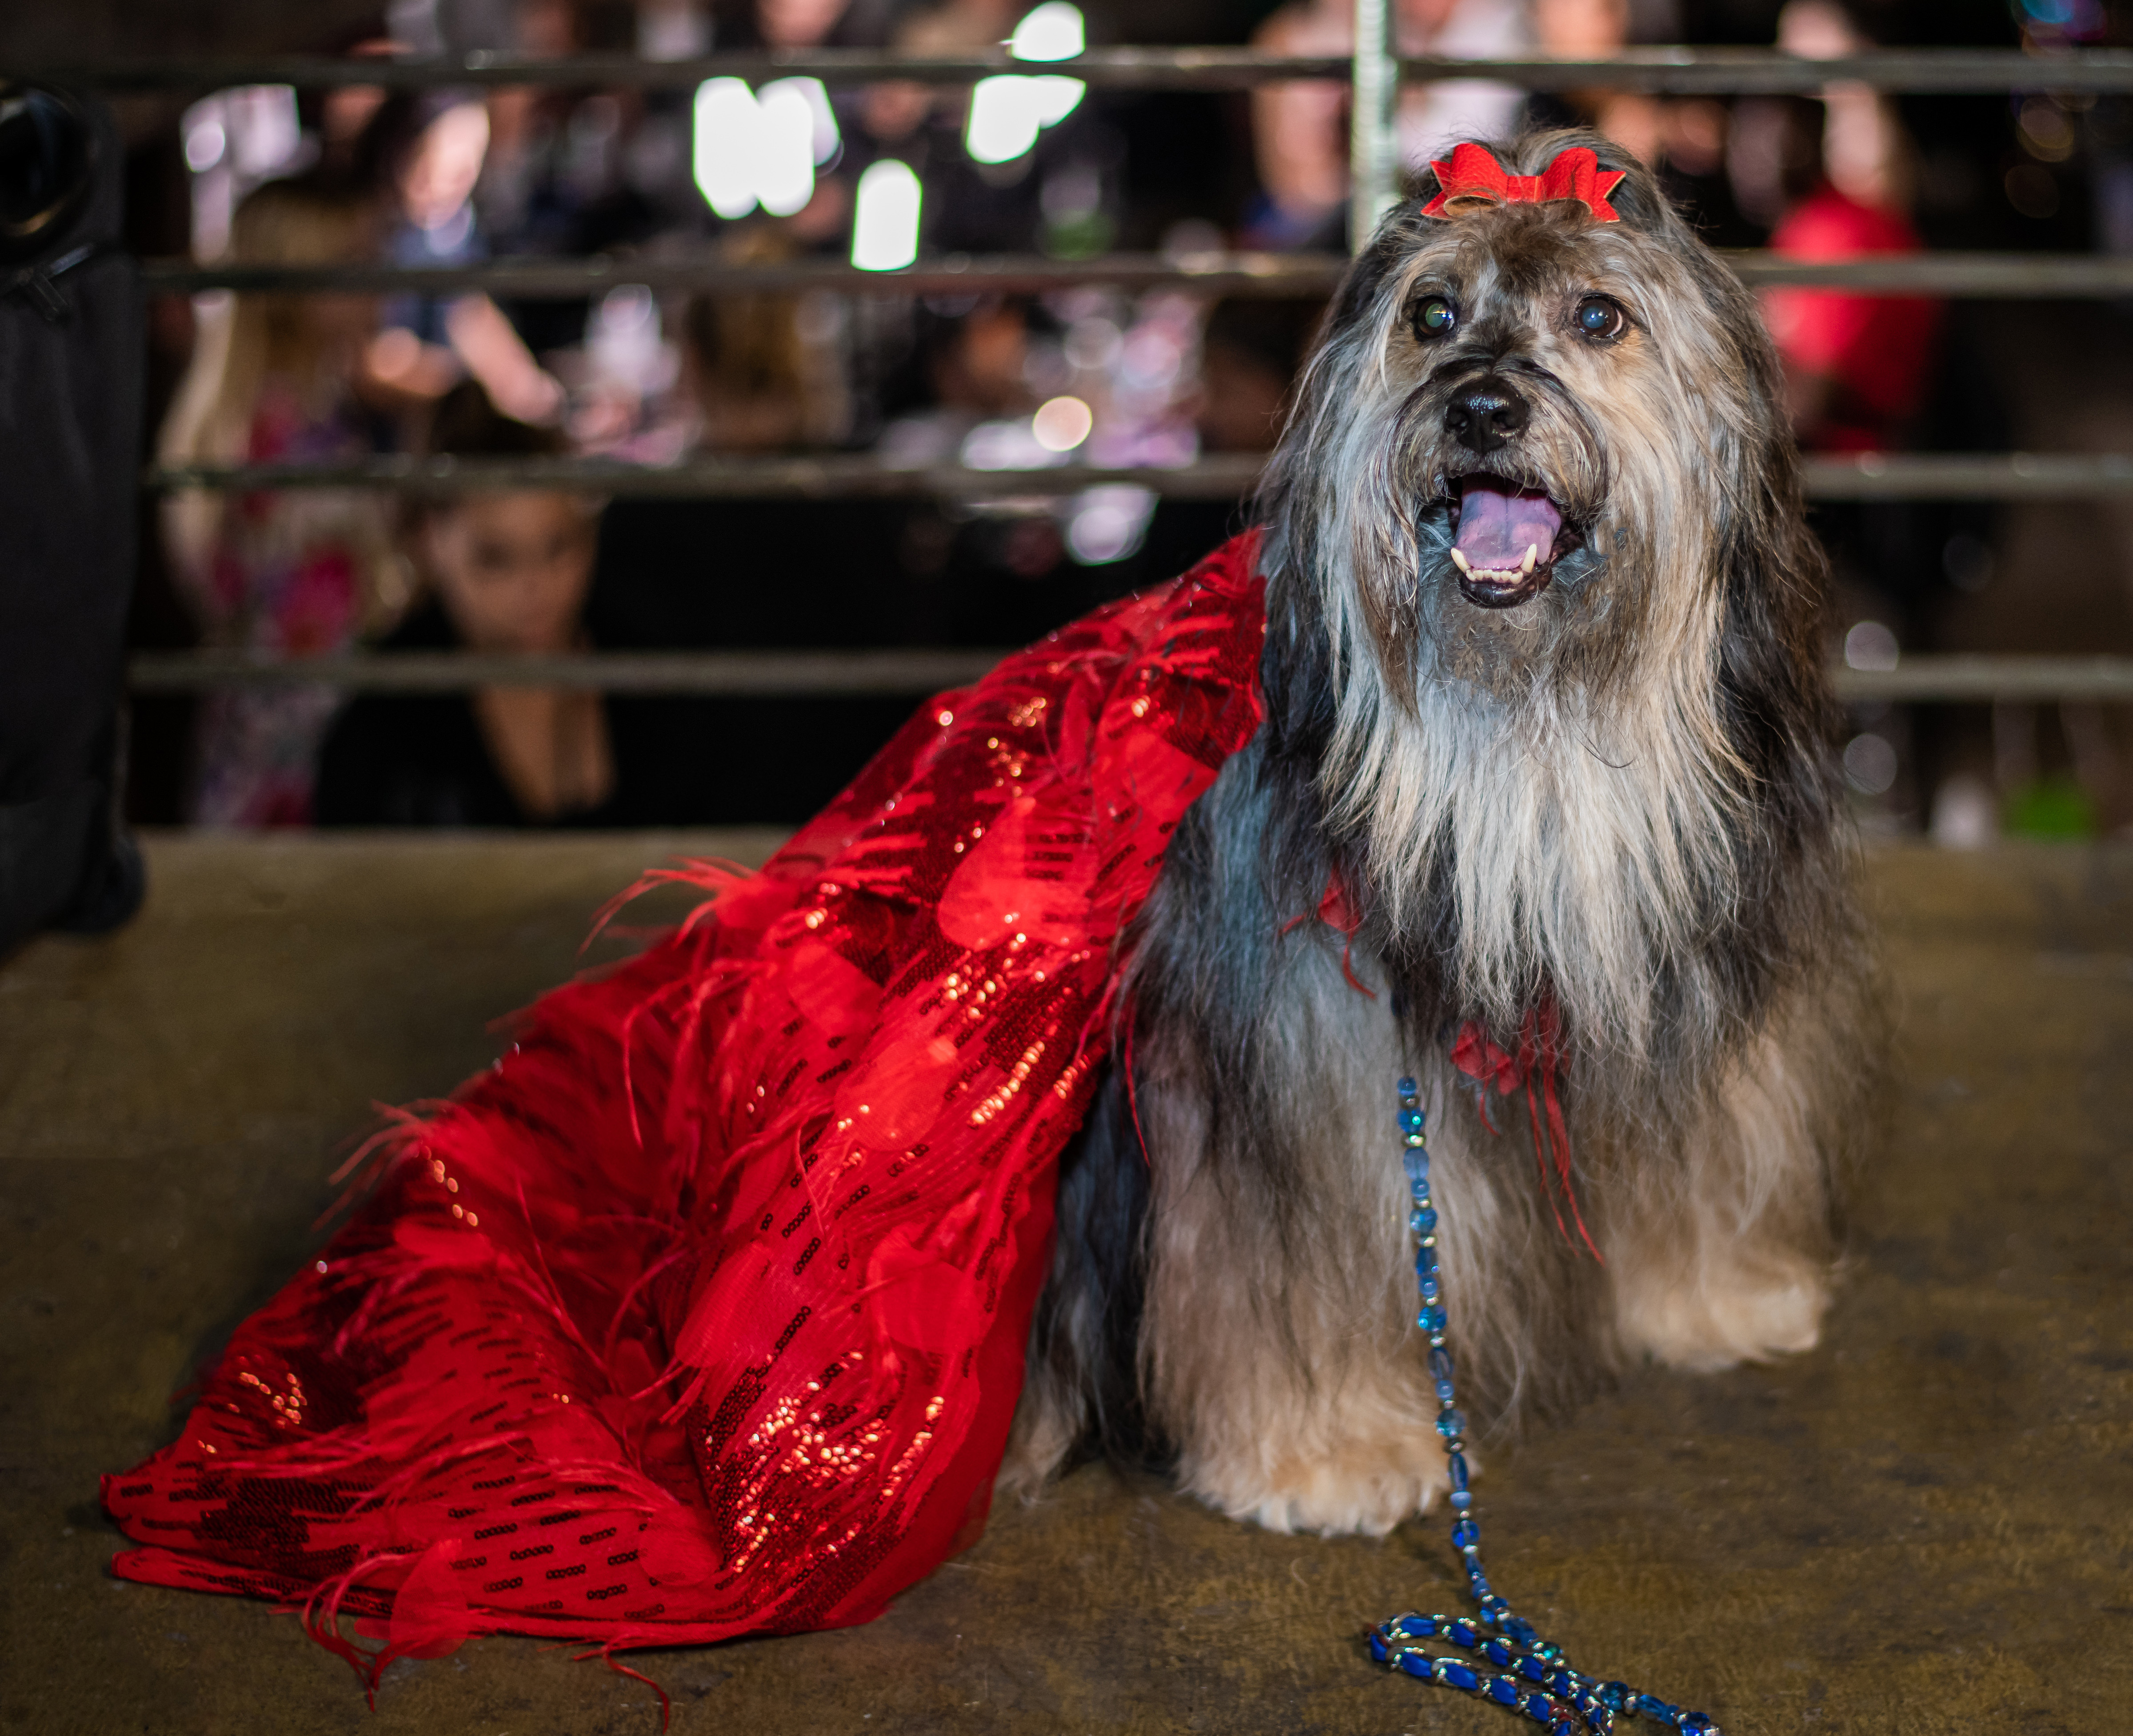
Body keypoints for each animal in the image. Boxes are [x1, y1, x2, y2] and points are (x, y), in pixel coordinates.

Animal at [1003, 130, 1880, 1536]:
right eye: (1431, 316)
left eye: (1599, 317)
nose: (1477, 408)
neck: (1525, 727)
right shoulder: (1304, 1051)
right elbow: (1296, 1258)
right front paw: (1322, 1447)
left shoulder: (1662, 955)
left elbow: (1689, 1135)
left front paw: (1710, 1292)